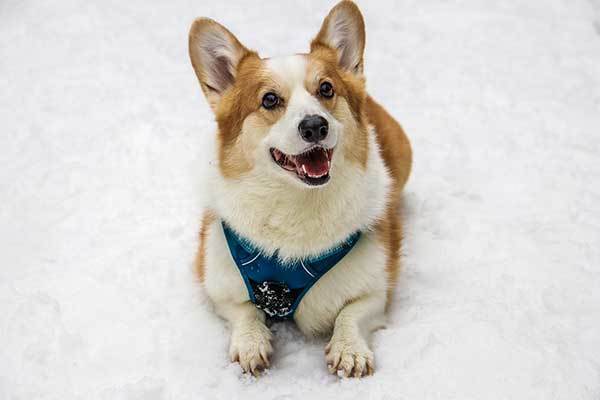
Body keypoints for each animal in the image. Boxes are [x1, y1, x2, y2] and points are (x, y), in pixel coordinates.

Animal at [189, 0, 412, 376]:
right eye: (269, 100)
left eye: (326, 89)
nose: (315, 126)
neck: (297, 202)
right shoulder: (218, 285)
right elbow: (243, 311)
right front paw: (251, 343)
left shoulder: (377, 288)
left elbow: (351, 312)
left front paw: (349, 349)